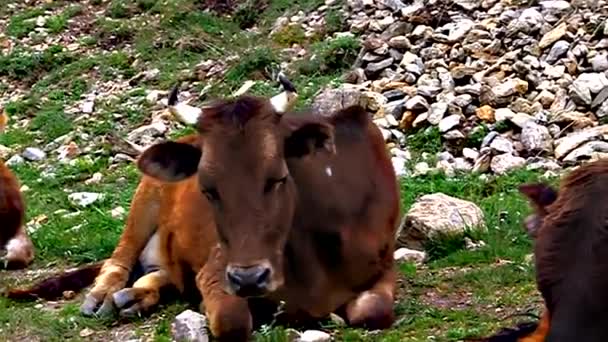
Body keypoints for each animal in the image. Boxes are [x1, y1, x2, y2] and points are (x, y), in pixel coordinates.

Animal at [7, 79, 404, 340]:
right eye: (207, 189)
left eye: (277, 177)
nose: (249, 279)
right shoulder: (217, 269)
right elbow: (231, 320)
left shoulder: (384, 263)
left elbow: (373, 311)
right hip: (145, 199)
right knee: (119, 259)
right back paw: (106, 295)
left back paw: (136, 296)